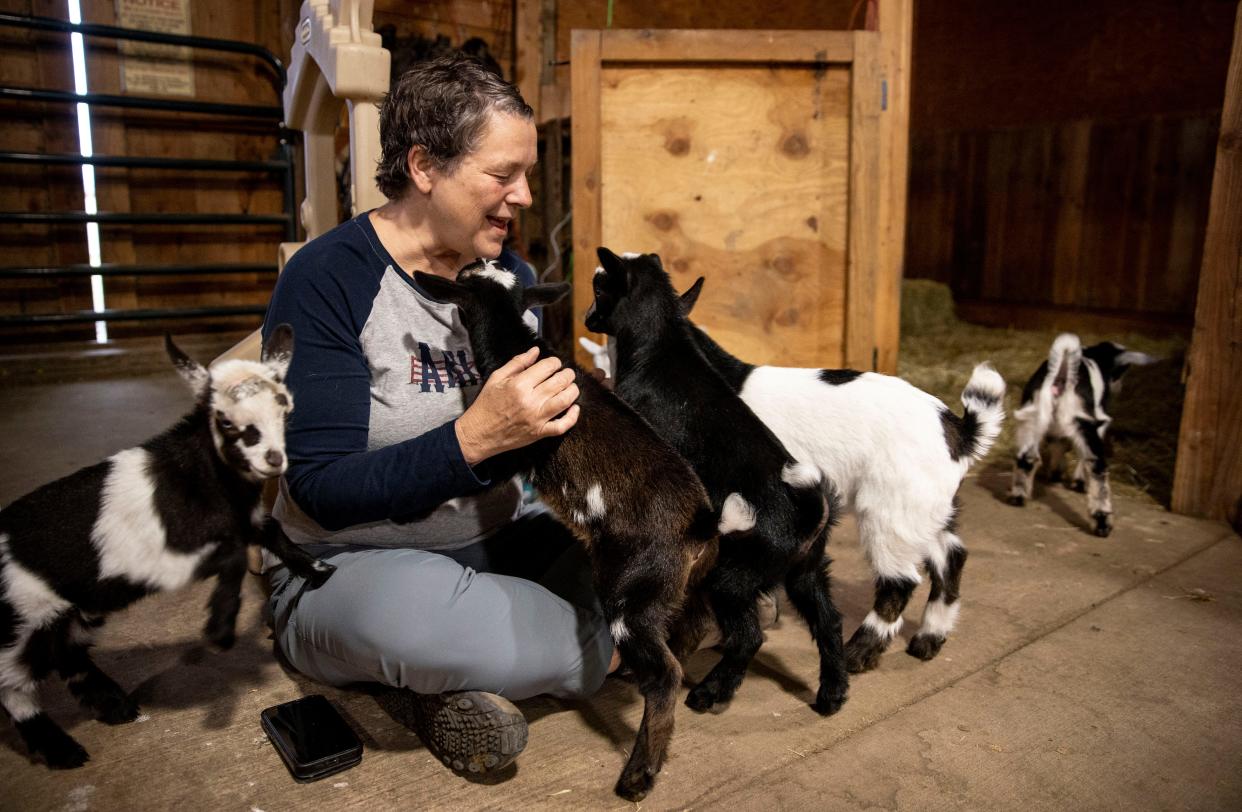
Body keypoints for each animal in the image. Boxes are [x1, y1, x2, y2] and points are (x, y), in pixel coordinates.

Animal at [0, 327, 335, 774]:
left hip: (72, 610)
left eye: (285, 409)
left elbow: (274, 533)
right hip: (26, 620)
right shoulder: (166, 560)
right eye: (224, 420)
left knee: (68, 655)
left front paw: (317, 568)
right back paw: (62, 749)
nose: (273, 460)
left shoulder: (246, 521)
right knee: (14, 685)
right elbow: (232, 558)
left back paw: (114, 707)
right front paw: (220, 628)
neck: (200, 476)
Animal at [414, 264, 720, 804]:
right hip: (685, 581)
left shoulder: (512, 446)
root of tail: (698, 519)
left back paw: (638, 776)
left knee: (664, 673)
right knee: (692, 624)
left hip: (630, 588)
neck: (516, 346)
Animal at [586, 247, 849, 720]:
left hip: (732, 576)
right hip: (805, 568)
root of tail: (808, 509)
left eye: (600, 287)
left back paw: (710, 692)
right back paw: (832, 694)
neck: (661, 346)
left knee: (748, 636)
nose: (587, 316)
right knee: (828, 620)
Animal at [665, 278, 1003, 675]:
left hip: (889, 513)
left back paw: (858, 653)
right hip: (923, 510)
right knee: (950, 556)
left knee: (901, 580)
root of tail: (960, 431)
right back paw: (928, 639)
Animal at [1008, 335, 1152, 538]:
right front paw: (1077, 482)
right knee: (1096, 466)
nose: (1119, 387)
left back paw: (1018, 496)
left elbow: (1058, 443)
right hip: (1084, 422)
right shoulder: (1097, 421)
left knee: (1027, 457)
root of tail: (1062, 374)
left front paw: (1056, 473)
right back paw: (1102, 523)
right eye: (1122, 371)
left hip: (1032, 418)